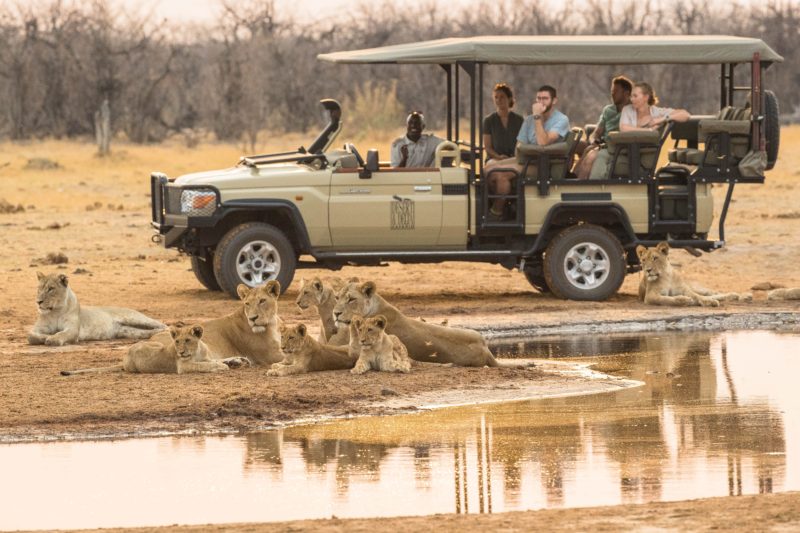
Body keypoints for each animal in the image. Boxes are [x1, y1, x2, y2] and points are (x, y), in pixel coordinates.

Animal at [28, 272, 166, 348]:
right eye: (39, 288)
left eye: (51, 289)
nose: (38, 302)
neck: (55, 311)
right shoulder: (37, 328)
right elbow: (31, 336)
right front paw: (46, 337)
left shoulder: (72, 329)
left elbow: (62, 334)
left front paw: (53, 339)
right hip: (129, 331)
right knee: (146, 332)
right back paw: (156, 333)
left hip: (134, 317)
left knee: (162, 324)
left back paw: (166, 331)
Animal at [61, 282, 284, 374]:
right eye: (247, 303)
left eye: (262, 301)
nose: (253, 318)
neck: (272, 323)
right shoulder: (271, 355)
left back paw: (237, 361)